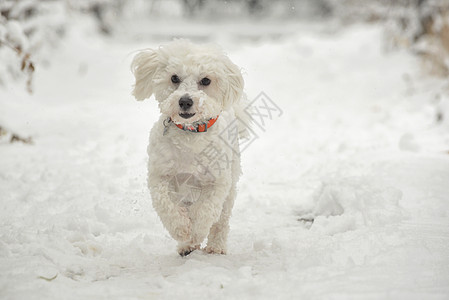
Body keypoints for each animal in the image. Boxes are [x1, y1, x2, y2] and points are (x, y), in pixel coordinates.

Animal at [130, 39, 250, 255]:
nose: (185, 101)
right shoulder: (160, 176)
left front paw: (195, 232)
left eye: (206, 80)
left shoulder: (217, 182)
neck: (190, 135)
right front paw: (182, 231)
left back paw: (216, 247)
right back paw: (186, 246)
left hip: (231, 181)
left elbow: (205, 210)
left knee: (221, 220)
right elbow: (165, 205)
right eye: (174, 77)